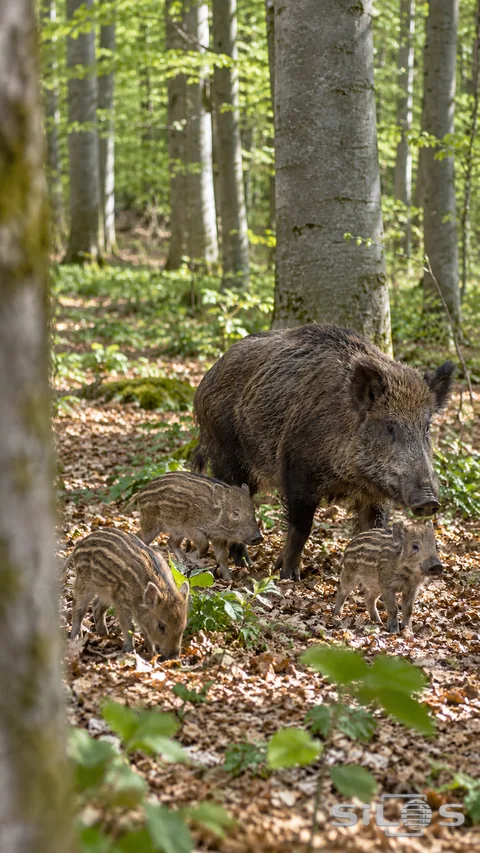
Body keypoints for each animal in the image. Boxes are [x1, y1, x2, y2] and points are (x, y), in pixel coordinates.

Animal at [67, 528, 189, 658]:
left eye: (183, 625)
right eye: (161, 626)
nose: (174, 657)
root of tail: (80, 543)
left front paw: (150, 652)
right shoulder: (122, 602)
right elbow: (129, 626)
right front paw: (130, 651)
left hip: (107, 592)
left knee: (96, 605)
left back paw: (104, 635)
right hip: (84, 582)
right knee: (78, 607)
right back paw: (75, 637)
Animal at [125, 471, 263, 580]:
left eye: (253, 510)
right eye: (235, 513)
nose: (258, 537)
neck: (215, 517)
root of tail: (140, 492)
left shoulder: (218, 538)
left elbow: (223, 557)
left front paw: (229, 580)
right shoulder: (191, 528)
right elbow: (204, 545)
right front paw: (198, 561)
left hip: (175, 530)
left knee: (171, 542)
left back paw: (183, 562)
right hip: (151, 522)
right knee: (141, 537)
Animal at [192, 323, 455, 581]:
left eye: (427, 427)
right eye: (390, 426)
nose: (429, 501)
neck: (350, 476)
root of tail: (207, 379)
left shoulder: (374, 495)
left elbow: (373, 530)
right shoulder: (297, 471)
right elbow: (301, 528)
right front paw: (288, 576)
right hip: (226, 454)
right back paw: (243, 563)